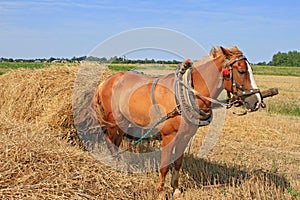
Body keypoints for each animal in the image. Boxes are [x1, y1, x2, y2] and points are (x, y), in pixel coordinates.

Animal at [92, 46, 262, 195]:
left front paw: (175, 189)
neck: (185, 96)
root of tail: (105, 82)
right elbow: (164, 166)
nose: (257, 101)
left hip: (124, 123)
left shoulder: (184, 136)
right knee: (110, 142)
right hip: (113, 122)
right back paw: (114, 164)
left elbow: (178, 163)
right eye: (241, 71)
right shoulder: (169, 136)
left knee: (117, 142)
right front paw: (160, 191)